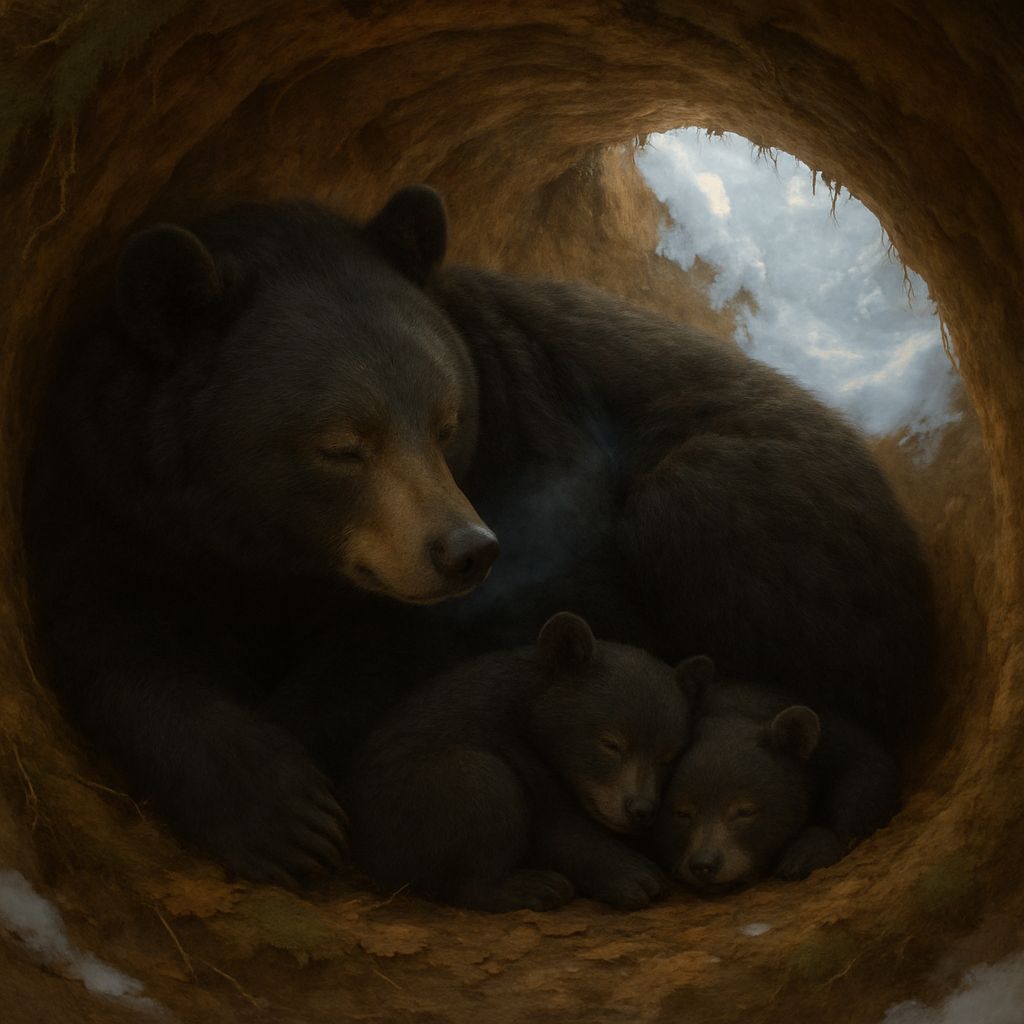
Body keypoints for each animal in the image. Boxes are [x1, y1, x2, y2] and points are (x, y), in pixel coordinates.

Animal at [348, 612, 706, 911]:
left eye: (668, 756)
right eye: (611, 743)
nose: (640, 809)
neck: (526, 715)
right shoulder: (512, 747)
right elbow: (556, 825)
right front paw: (635, 877)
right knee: (479, 782)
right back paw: (535, 886)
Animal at [653, 666, 901, 893]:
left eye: (745, 810)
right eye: (682, 812)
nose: (704, 864)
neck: (737, 705)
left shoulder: (830, 737)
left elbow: (867, 765)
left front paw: (805, 852)